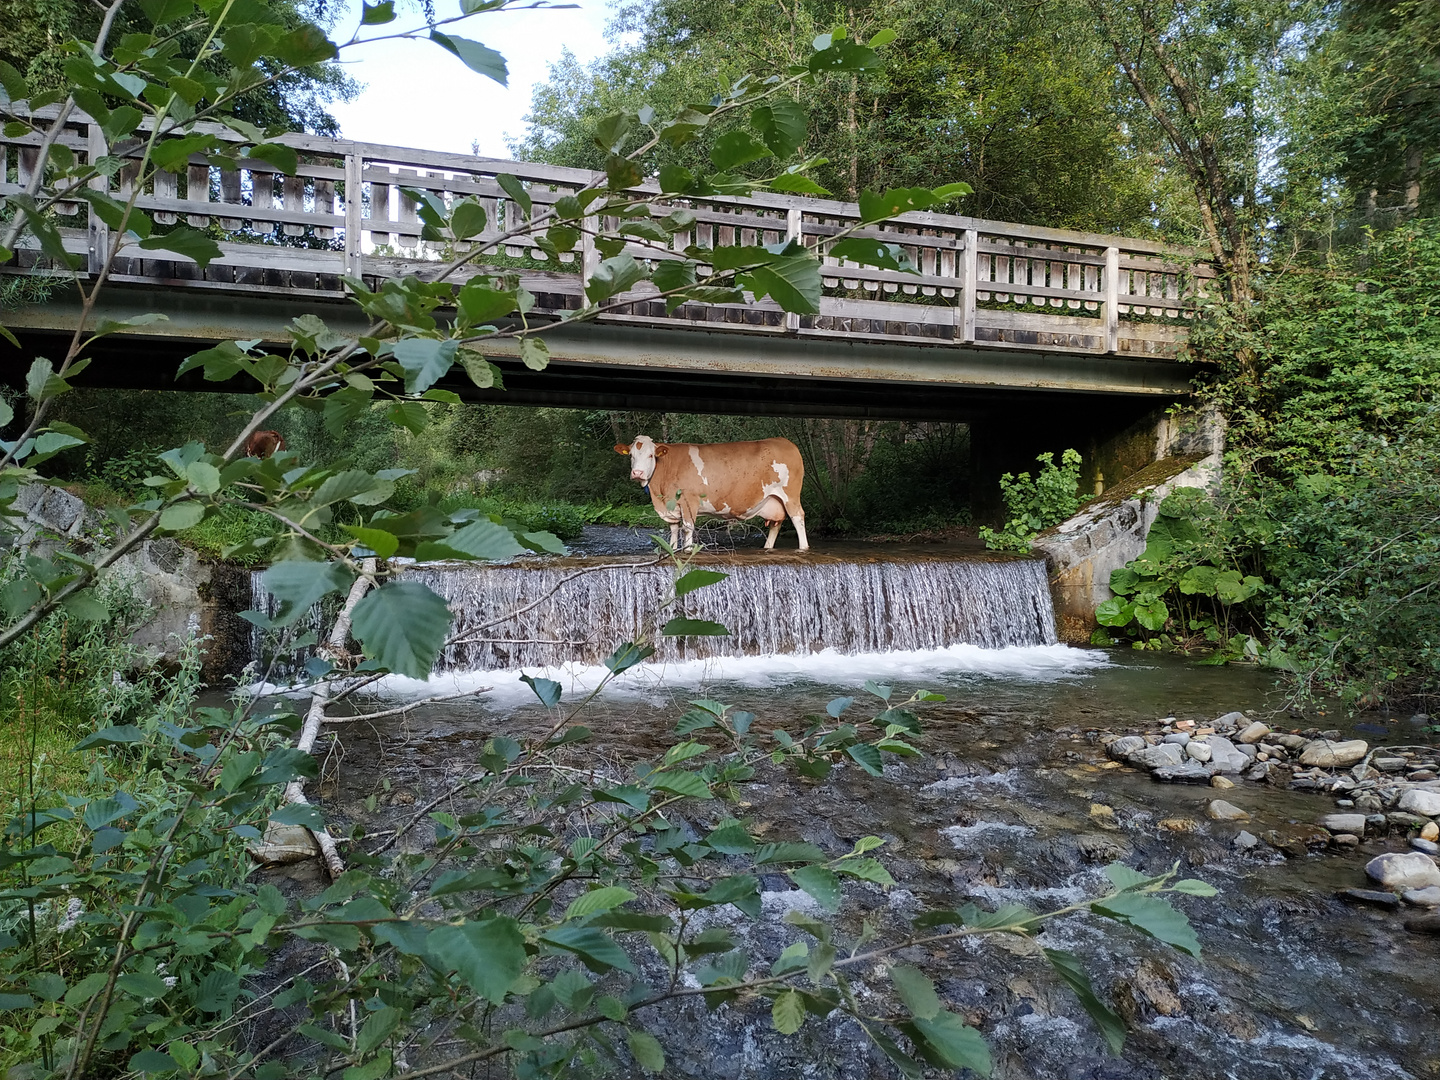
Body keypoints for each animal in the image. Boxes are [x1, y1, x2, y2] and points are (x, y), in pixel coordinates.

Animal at [613, 434, 806, 550]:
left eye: (651, 455)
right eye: (631, 455)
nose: (637, 473)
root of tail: (784, 441)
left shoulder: (689, 501)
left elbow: (688, 529)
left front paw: (687, 551)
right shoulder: (671, 508)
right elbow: (674, 530)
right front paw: (673, 550)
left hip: (791, 496)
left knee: (798, 519)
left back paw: (803, 548)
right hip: (774, 501)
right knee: (776, 524)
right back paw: (767, 547)